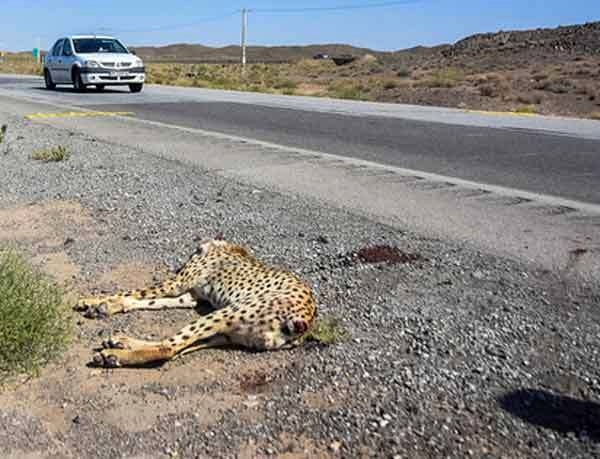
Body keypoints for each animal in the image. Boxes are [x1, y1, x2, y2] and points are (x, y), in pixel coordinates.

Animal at [76, 239, 318, 368]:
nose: (180, 263)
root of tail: (306, 322)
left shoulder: (177, 283)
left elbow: (136, 291)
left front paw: (93, 301)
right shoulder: (191, 296)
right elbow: (153, 301)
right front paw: (107, 305)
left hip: (225, 313)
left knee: (169, 348)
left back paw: (114, 354)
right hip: (228, 333)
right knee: (179, 345)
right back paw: (121, 343)